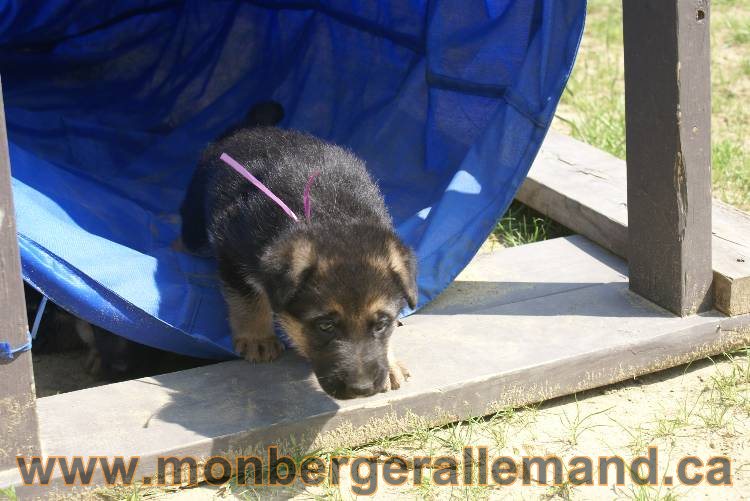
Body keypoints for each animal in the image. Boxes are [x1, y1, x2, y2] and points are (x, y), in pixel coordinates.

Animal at [182, 102, 418, 398]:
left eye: (381, 324)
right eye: (325, 326)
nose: (362, 389)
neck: (332, 214)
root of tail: (248, 129)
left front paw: (391, 363)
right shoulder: (232, 250)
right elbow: (248, 299)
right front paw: (257, 337)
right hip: (195, 219)